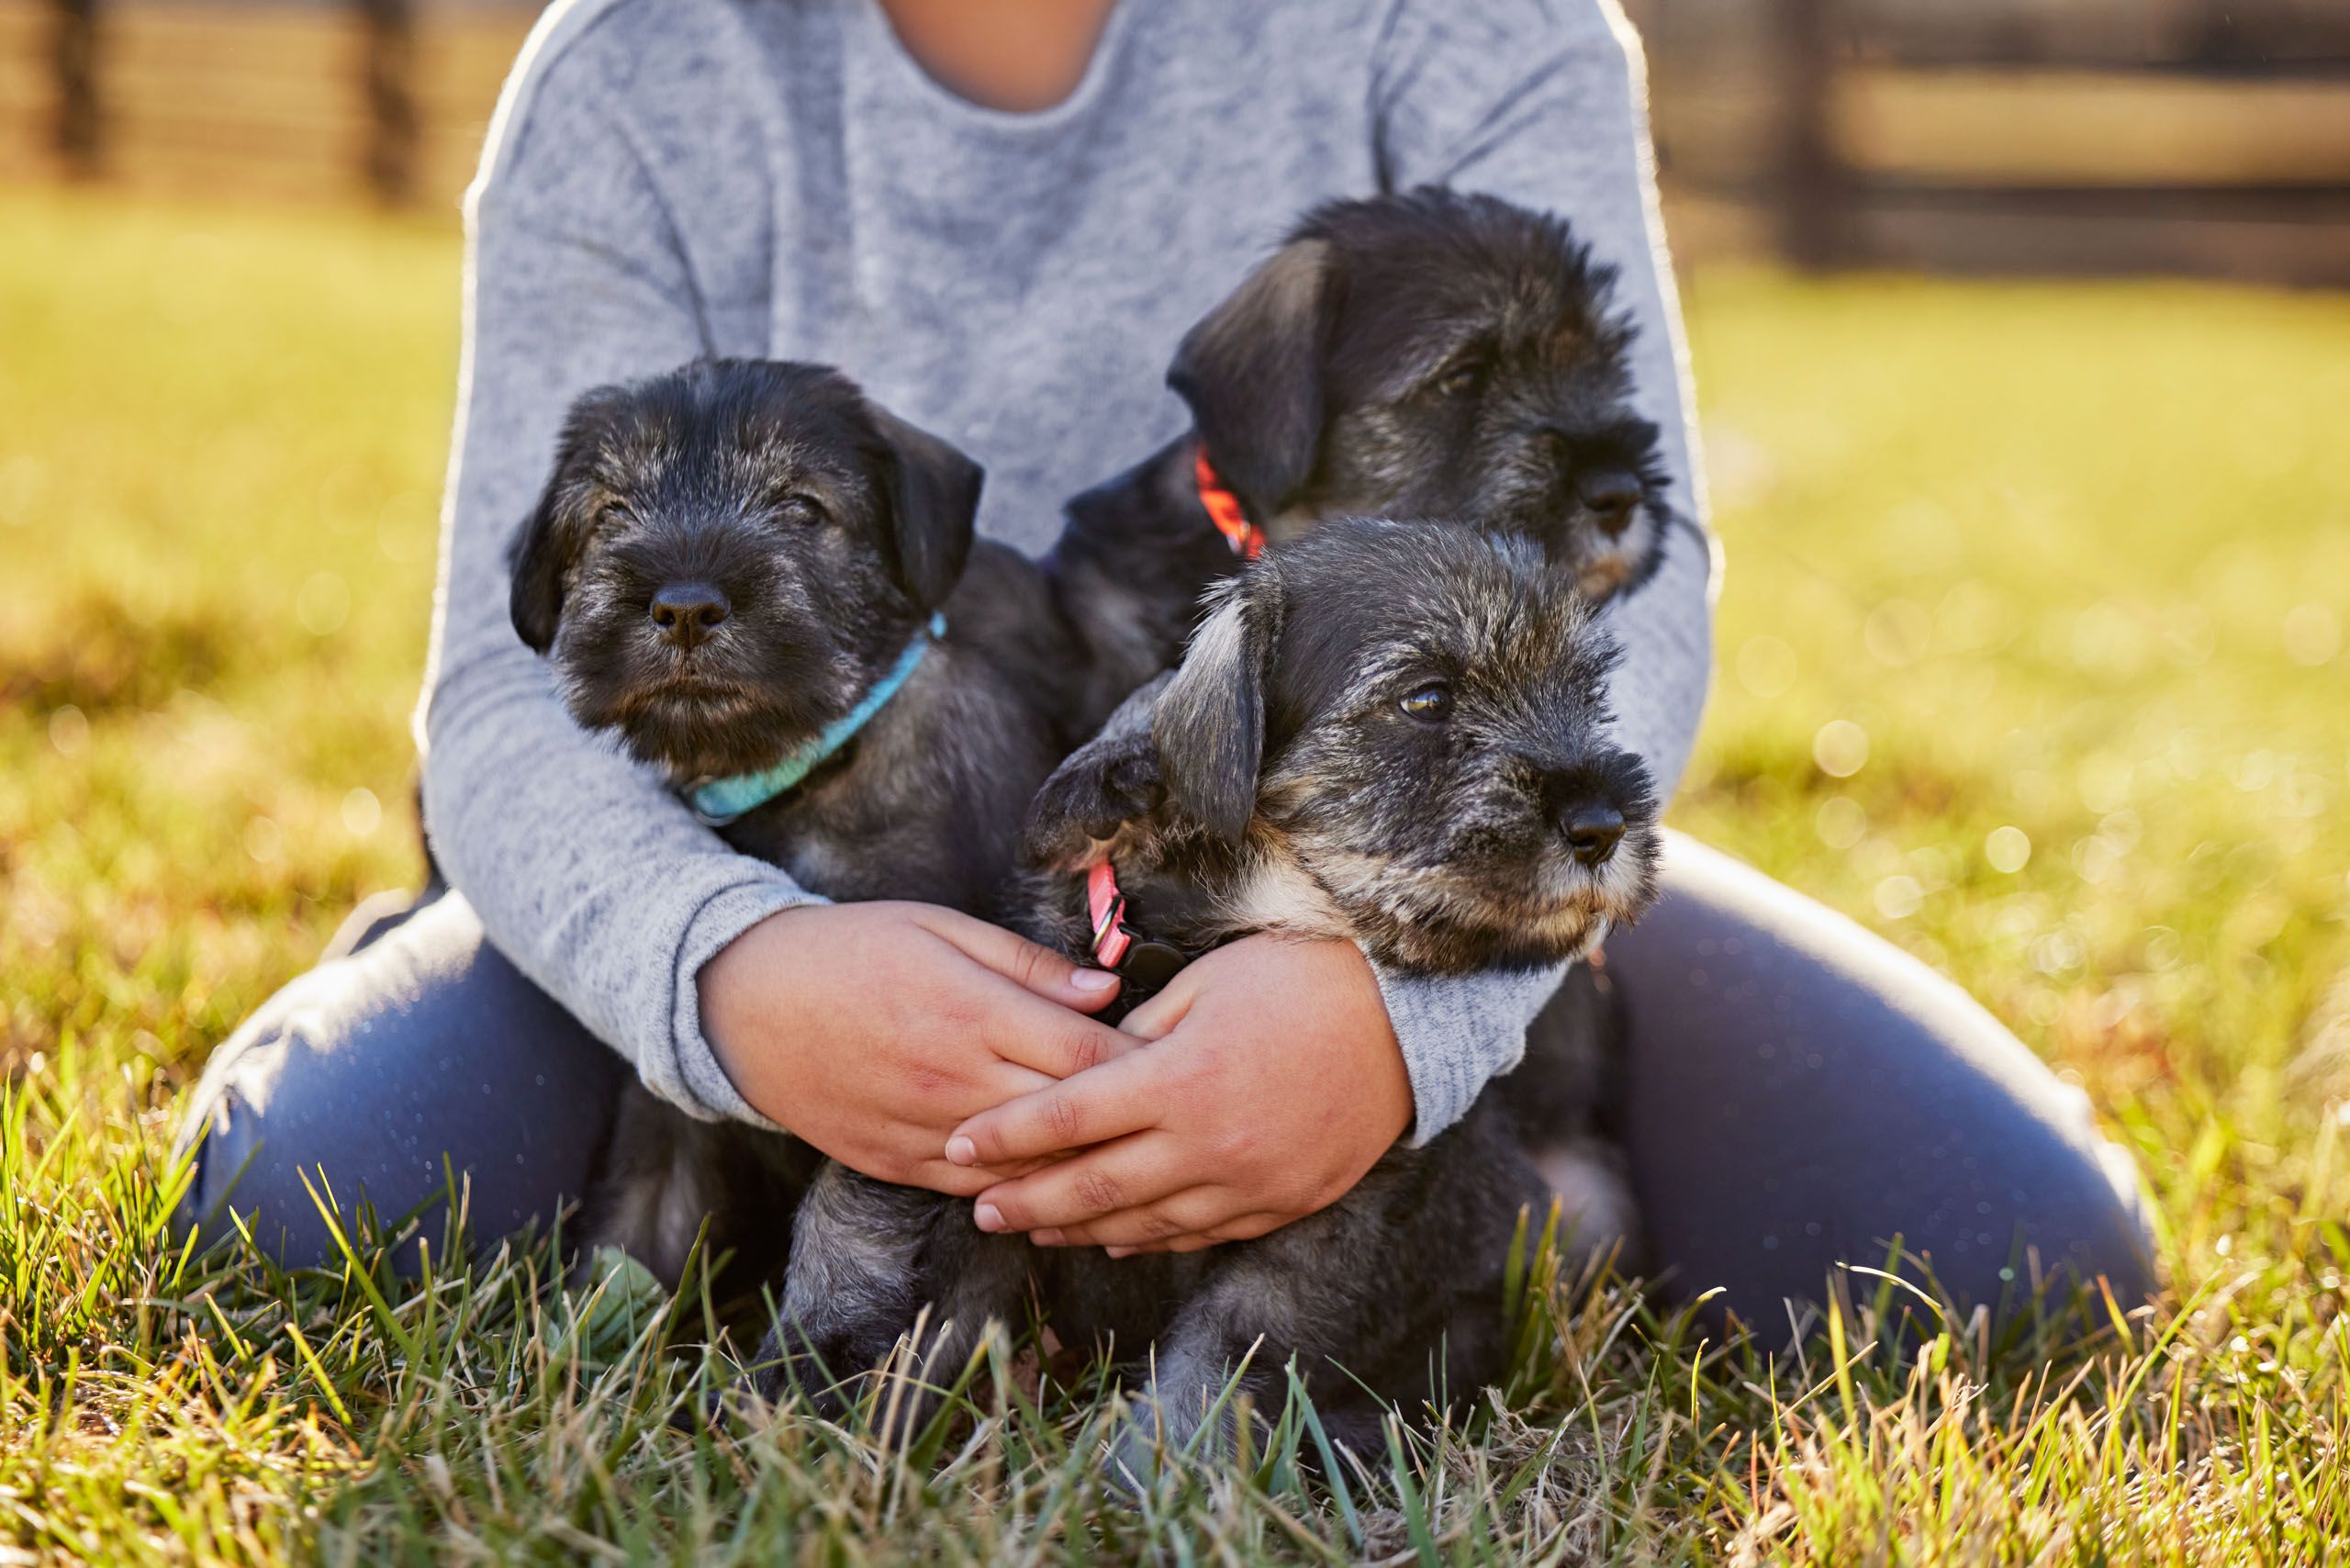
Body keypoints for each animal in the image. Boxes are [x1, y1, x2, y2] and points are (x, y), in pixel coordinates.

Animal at [509, 362, 1071, 1297]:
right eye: (611, 513)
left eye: (803, 508)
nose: (685, 607)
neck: (806, 769)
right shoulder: (669, 1117)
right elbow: (635, 1228)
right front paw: (580, 1331)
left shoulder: (918, 1077)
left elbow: (847, 1241)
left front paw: (810, 1347)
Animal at [761, 517, 1663, 1476]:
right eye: (1426, 700)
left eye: (1586, 694)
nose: (1604, 826)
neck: (1218, 924)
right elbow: (884, 1242)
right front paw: (829, 1407)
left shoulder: (1315, 1230)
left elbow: (1222, 1363)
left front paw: (1148, 1480)